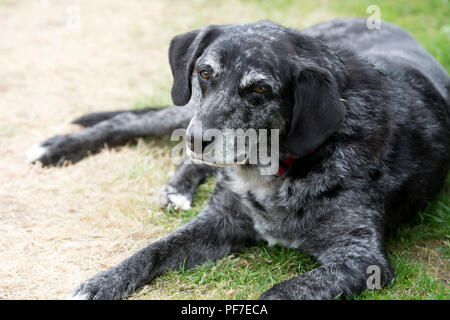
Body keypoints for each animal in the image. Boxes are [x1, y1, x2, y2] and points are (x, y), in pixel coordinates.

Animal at [26, 18, 448, 300]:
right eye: (205, 72)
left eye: (260, 89)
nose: (197, 139)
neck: (275, 172)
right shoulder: (219, 220)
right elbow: (152, 250)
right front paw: (103, 282)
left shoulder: (361, 259)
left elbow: (279, 292)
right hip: (185, 111)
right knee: (128, 121)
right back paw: (57, 148)